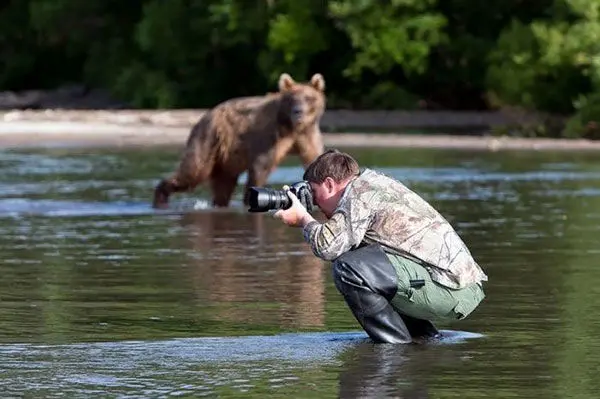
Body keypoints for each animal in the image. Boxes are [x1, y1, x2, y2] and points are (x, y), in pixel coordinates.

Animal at [152, 73, 326, 209]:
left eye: (309, 98)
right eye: (291, 98)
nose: (298, 112)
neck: (292, 127)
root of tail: (205, 116)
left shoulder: (308, 135)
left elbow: (314, 158)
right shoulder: (270, 136)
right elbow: (260, 167)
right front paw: (251, 198)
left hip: (226, 156)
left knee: (223, 185)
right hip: (208, 139)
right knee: (193, 172)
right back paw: (160, 198)